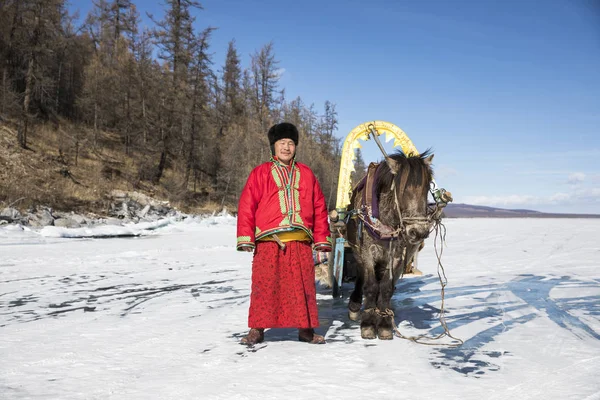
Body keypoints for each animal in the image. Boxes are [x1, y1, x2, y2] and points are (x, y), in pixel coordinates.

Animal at [344, 150, 434, 340]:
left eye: (427, 187)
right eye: (402, 189)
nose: (419, 232)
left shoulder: (397, 255)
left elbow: (386, 287)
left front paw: (384, 323)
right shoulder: (367, 252)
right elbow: (371, 286)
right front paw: (368, 323)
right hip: (356, 250)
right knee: (361, 274)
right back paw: (355, 305)